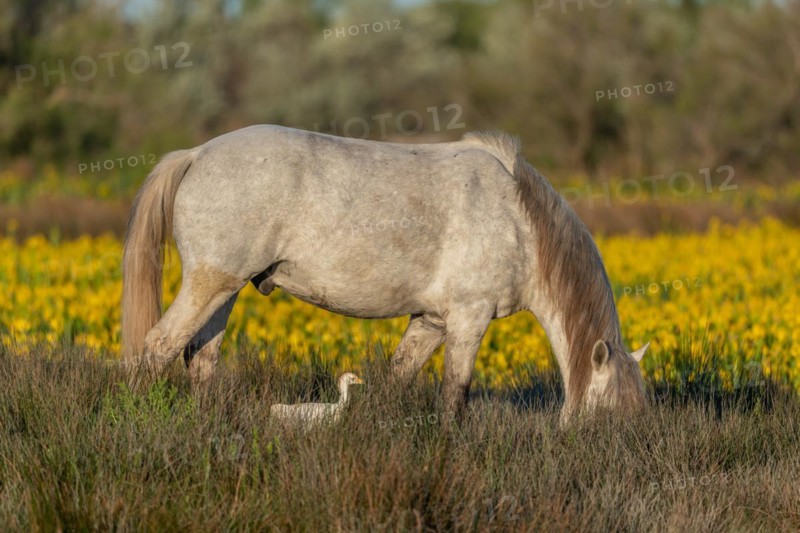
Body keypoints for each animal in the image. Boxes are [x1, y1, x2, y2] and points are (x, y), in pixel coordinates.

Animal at [121, 125, 649, 423]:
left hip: (224, 291)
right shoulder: (468, 319)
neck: (519, 220)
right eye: (609, 414)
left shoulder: (431, 321)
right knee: (159, 346)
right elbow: (454, 397)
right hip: (209, 284)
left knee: (200, 357)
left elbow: (397, 377)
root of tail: (196, 154)